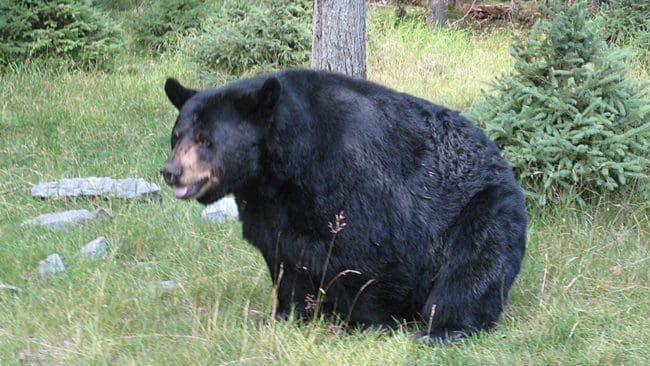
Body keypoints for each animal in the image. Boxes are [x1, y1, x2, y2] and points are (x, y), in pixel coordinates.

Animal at [159, 68, 524, 344]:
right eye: (177, 136)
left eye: (205, 139)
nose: (170, 171)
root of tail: (501, 161)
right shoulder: (269, 209)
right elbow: (284, 259)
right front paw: (283, 316)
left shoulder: (352, 177)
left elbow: (371, 252)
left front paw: (362, 323)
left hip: (482, 208)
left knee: (471, 269)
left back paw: (443, 330)